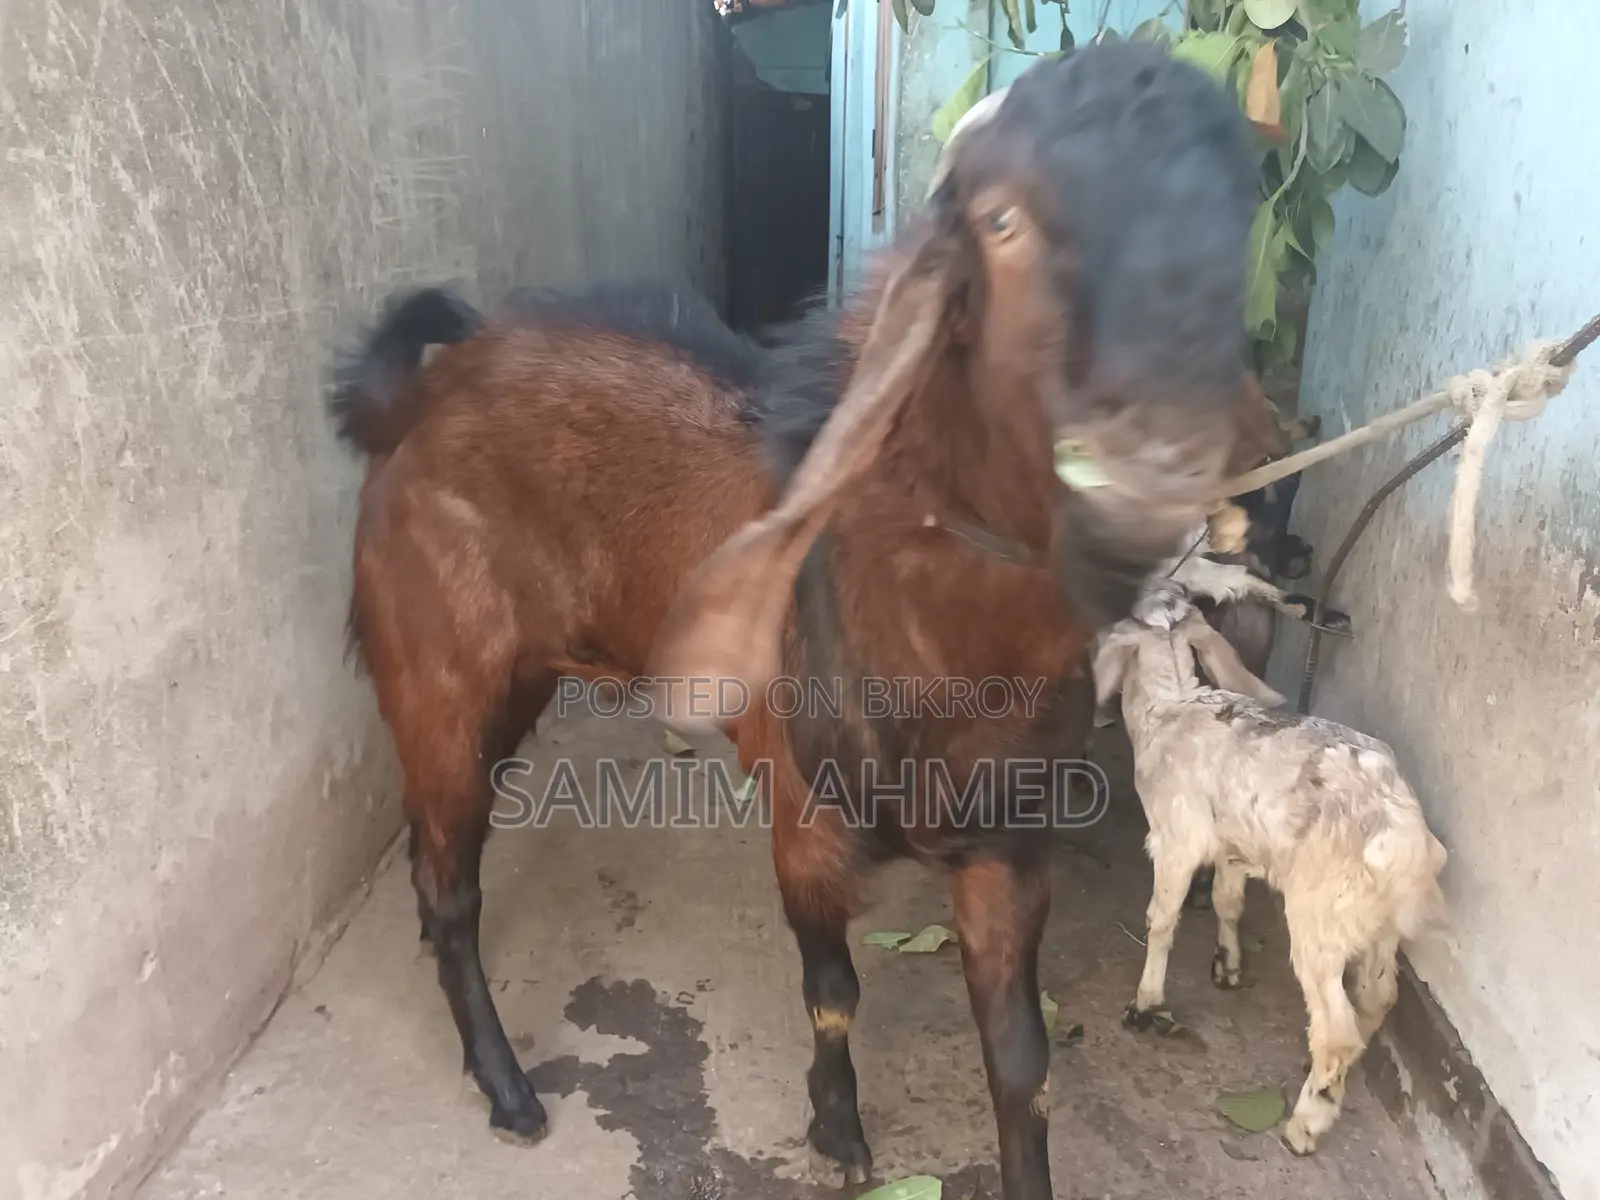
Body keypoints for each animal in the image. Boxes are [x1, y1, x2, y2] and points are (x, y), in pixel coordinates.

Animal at [332, 44, 1264, 1200]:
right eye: (1001, 220)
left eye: (1240, 216)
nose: (1154, 471)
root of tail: (416, 398)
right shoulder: (805, 824)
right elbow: (833, 993)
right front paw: (838, 1132)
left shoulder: (1009, 847)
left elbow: (1021, 1061)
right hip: (440, 677)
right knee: (448, 884)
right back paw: (508, 1092)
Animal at [1089, 583, 1448, 1157]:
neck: (1172, 705)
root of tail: (1405, 837)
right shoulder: (1235, 848)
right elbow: (1227, 902)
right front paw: (1228, 966)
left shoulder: (1175, 841)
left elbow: (1161, 921)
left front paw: (1145, 1004)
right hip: (1378, 926)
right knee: (1376, 997)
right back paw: (1326, 1077)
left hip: (1320, 920)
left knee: (1337, 1027)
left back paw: (1307, 1123)